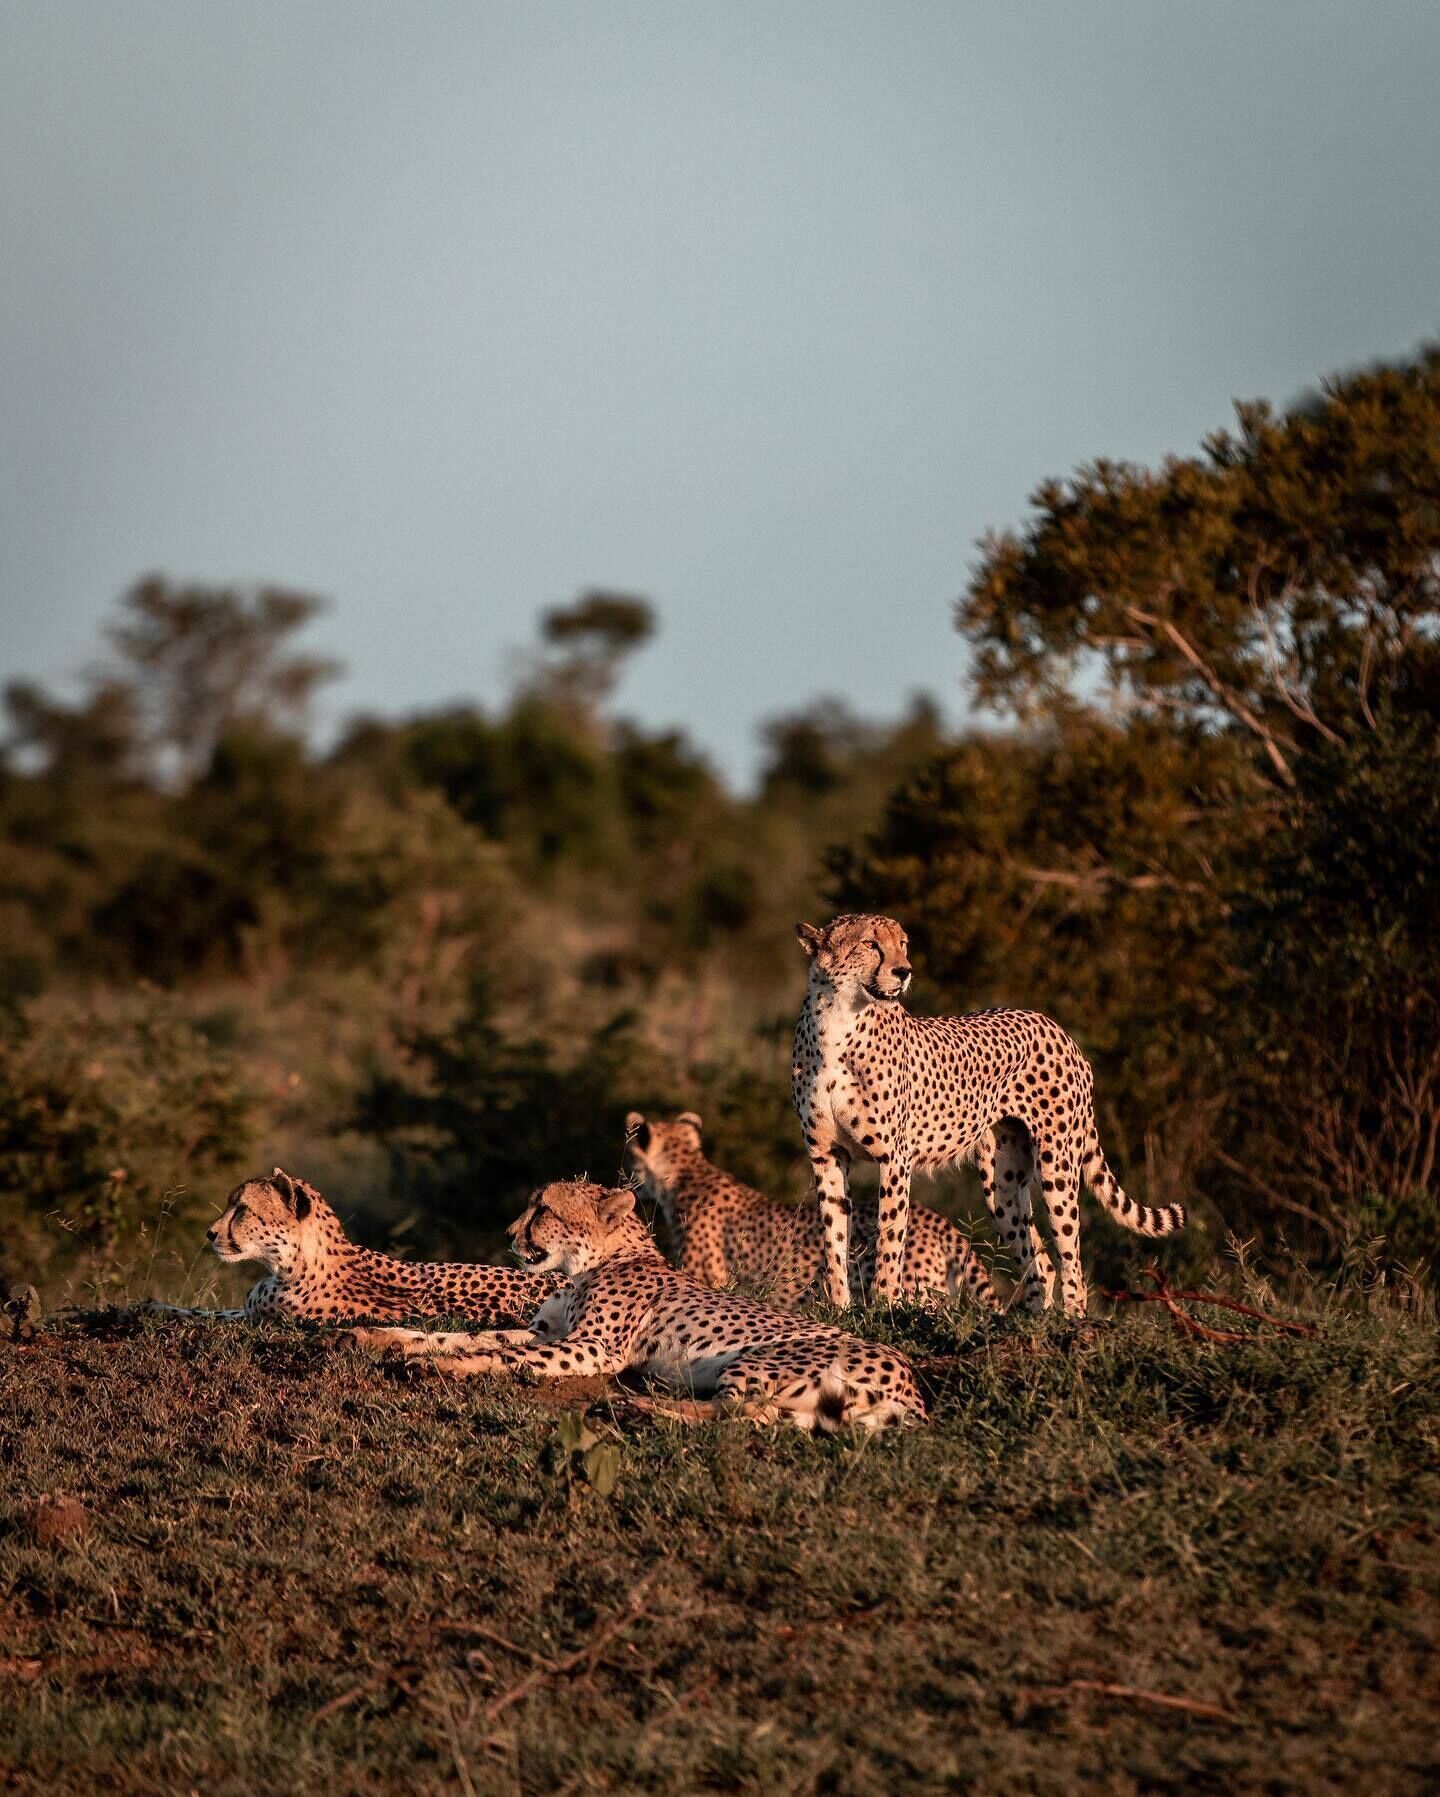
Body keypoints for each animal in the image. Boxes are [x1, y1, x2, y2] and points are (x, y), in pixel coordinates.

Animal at [350, 1179, 926, 1432]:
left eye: (543, 1209)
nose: (510, 1235)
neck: (592, 1261)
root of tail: (913, 1386)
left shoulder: (592, 1348)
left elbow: (503, 1357)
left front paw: (437, 1366)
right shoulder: (547, 1333)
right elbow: (466, 1335)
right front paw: (378, 1337)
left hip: (759, 1360)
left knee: (732, 1412)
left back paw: (638, 1406)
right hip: (801, 1405)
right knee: (756, 1418)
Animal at [624, 1109, 1005, 1312]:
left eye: (631, 1160)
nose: (631, 1186)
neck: (686, 1172)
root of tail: (938, 1219)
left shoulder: (708, 1279)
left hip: (918, 1293)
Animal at [792, 913, 1186, 1315]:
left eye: (902, 944)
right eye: (870, 944)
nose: (904, 971)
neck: (837, 1021)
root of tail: (1054, 1026)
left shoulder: (894, 1158)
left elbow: (888, 1238)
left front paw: (885, 1306)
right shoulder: (826, 1155)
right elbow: (834, 1237)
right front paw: (840, 1308)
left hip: (1056, 1164)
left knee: (1071, 1261)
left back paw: (1073, 1318)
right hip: (1002, 1181)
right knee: (1040, 1260)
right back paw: (1032, 1318)